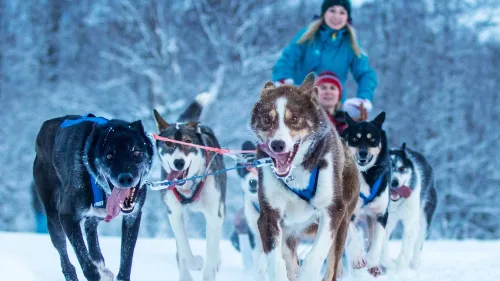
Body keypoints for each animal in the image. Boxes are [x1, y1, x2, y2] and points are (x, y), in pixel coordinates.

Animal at [33, 114, 152, 280]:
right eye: (109, 155)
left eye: (137, 152)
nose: (126, 178)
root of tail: (45, 125)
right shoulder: (67, 217)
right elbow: (86, 263)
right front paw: (95, 273)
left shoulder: (133, 217)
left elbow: (126, 259)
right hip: (54, 219)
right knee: (65, 260)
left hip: (98, 215)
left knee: (90, 226)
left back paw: (99, 263)